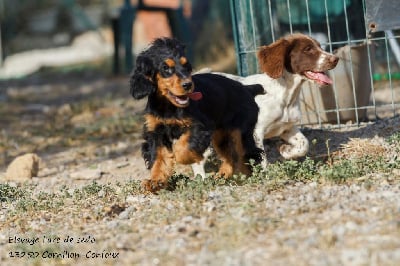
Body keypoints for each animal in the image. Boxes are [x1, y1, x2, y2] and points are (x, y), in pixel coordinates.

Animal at [130, 38, 264, 191]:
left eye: (186, 66)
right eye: (165, 68)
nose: (188, 85)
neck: (168, 106)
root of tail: (248, 88)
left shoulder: (199, 126)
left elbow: (182, 148)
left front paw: (186, 158)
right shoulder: (156, 133)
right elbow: (158, 158)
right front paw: (154, 181)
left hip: (240, 130)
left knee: (247, 153)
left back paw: (246, 175)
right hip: (222, 135)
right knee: (230, 155)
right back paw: (224, 175)